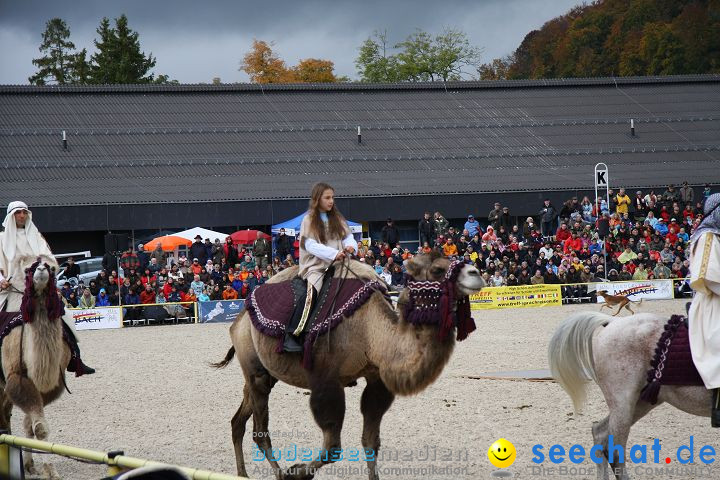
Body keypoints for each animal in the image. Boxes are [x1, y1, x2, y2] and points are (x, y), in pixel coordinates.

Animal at [0, 255, 70, 476]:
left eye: (51, 267)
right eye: (28, 269)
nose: (41, 270)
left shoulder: (52, 383)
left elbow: (32, 426)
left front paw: (32, 465)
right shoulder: (16, 377)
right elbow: (39, 427)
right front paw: (50, 471)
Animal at [214, 253, 484, 478]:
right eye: (438, 269)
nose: (476, 272)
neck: (369, 328)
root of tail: (239, 318)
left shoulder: (376, 381)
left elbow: (370, 442)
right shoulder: (326, 382)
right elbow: (332, 447)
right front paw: (297, 471)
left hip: (264, 374)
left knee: (238, 421)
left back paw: (243, 474)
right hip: (255, 368)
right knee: (260, 432)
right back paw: (280, 473)